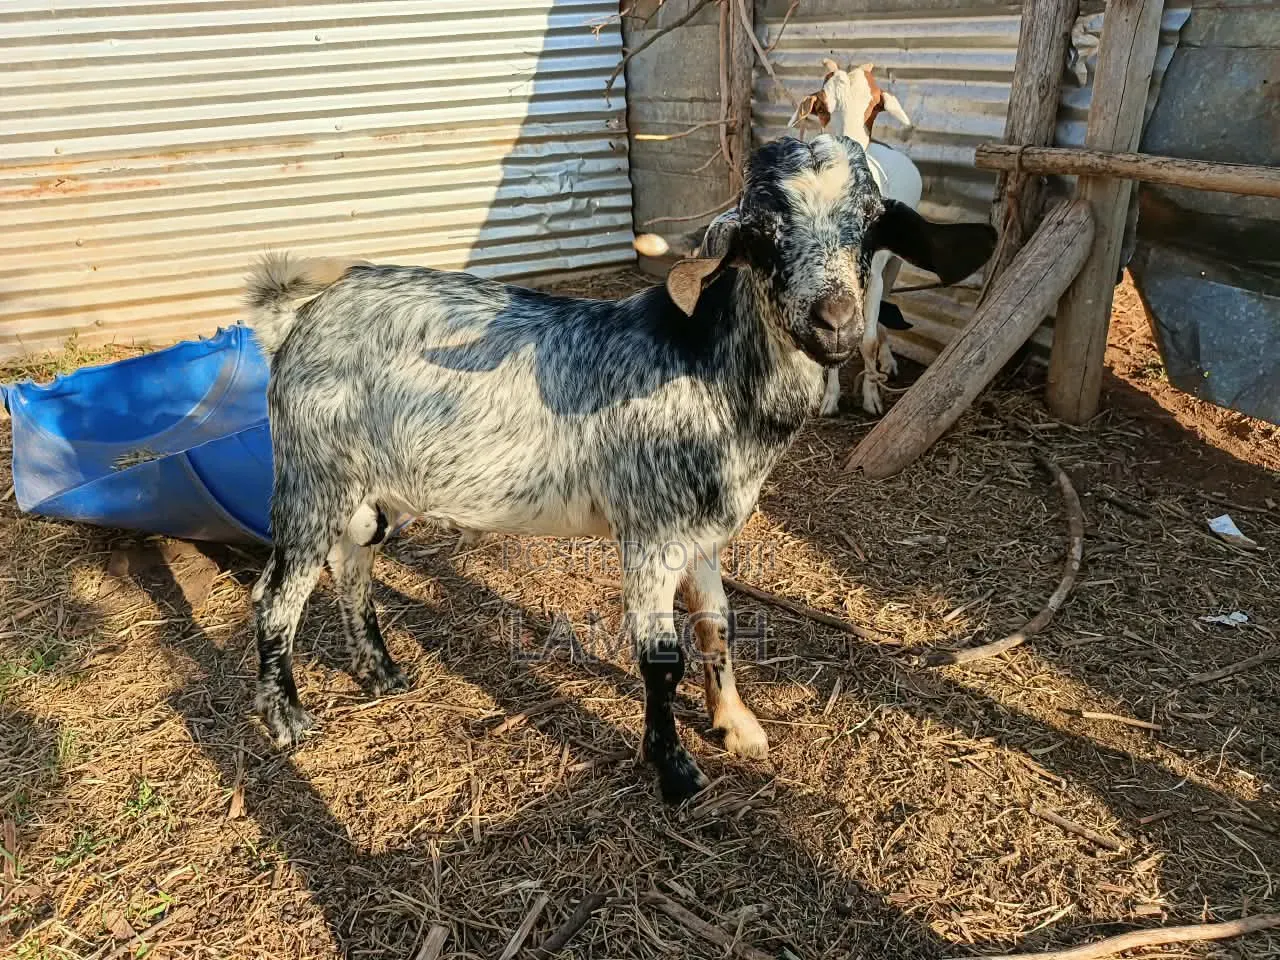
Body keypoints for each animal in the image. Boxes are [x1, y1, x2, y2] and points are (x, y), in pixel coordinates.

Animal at [244, 135, 996, 803]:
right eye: (763, 234)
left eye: (869, 227)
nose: (836, 321)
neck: (707, 371)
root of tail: (298, 315)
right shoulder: (650, 531)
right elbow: (660, 657)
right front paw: (676, 772)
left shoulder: (704, 535)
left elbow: (717, 624)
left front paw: (737, 725)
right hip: (310, 475)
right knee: (276, 595)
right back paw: (285, 719)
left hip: (370, 492)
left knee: (351, 569)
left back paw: (381, 675)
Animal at [790, 60, 924, 416]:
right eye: (822, 106)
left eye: (874, 105)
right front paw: (829, 399)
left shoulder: (873, 274)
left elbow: (867, 340)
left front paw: (871, 398)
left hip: (894, 263)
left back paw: (887, 363)